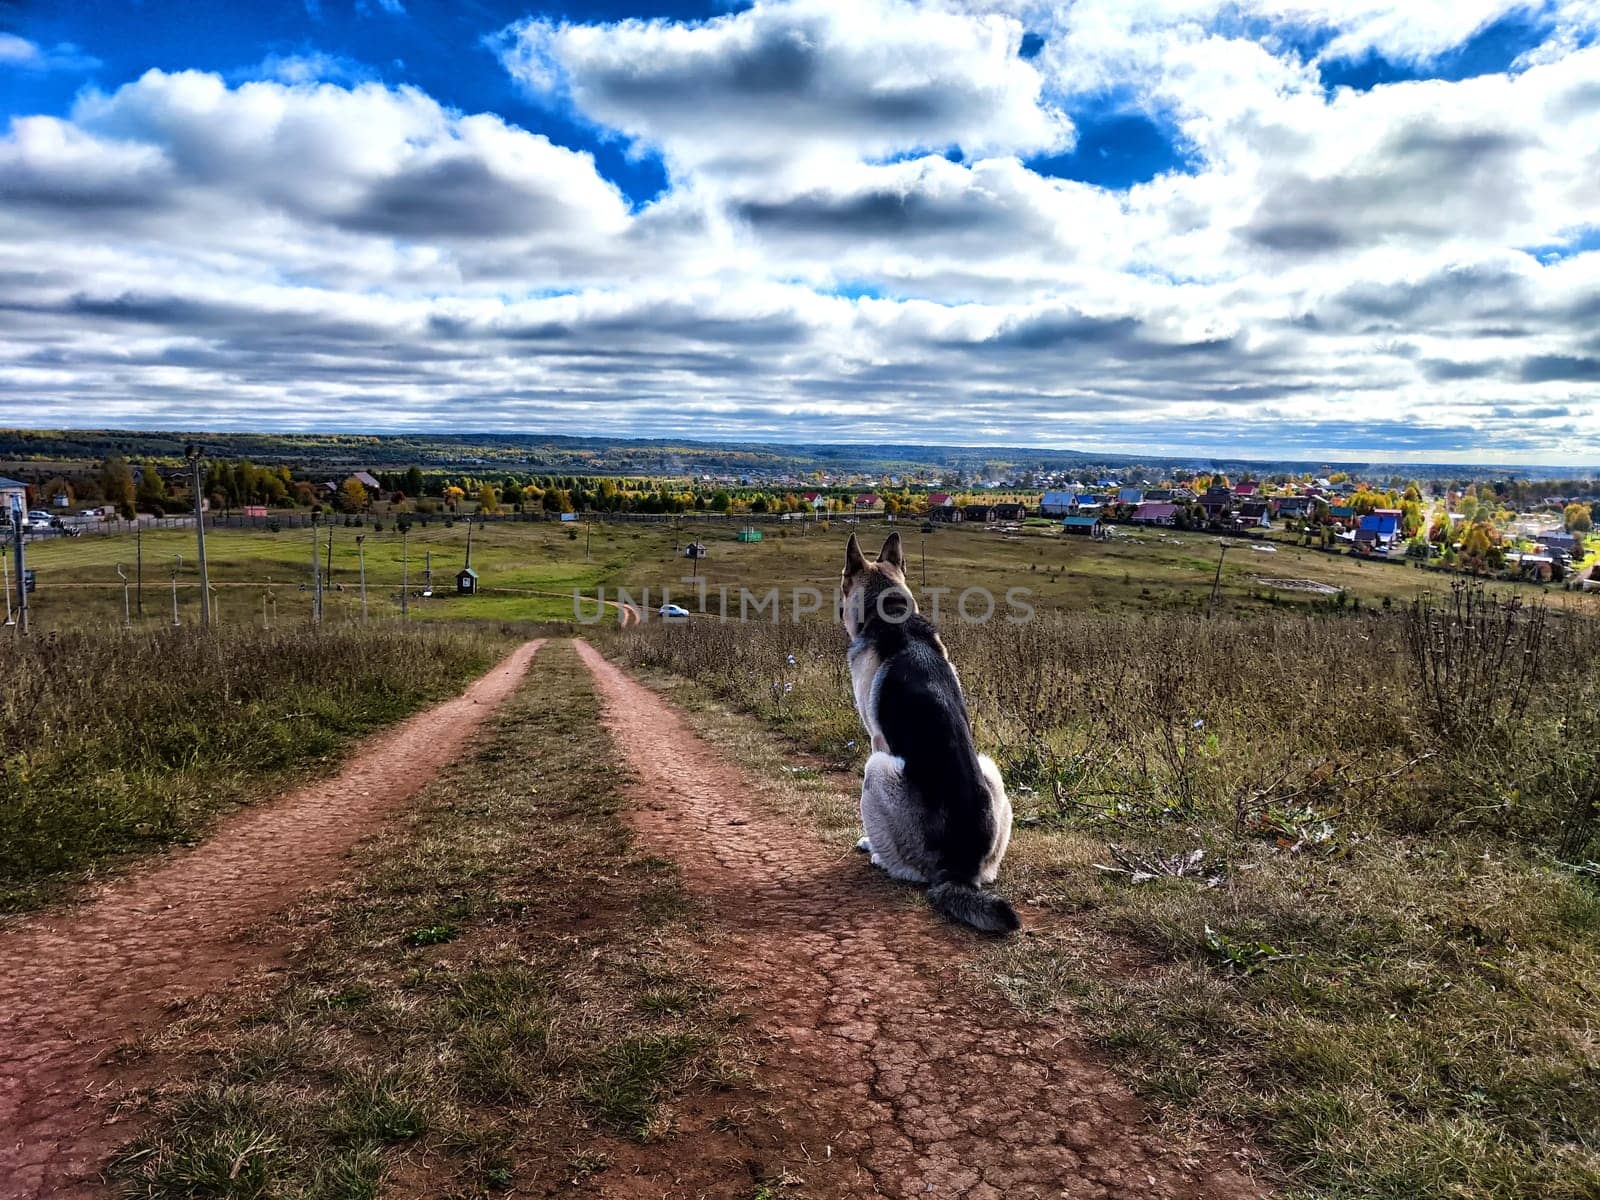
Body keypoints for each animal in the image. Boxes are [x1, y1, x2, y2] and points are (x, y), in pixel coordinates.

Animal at [838, 534, 1011, 940]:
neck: (892, 611)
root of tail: (959, 869)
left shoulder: (876, 740)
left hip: (877, 769)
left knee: (909, 872)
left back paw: (877, 853)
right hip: (989, 767)